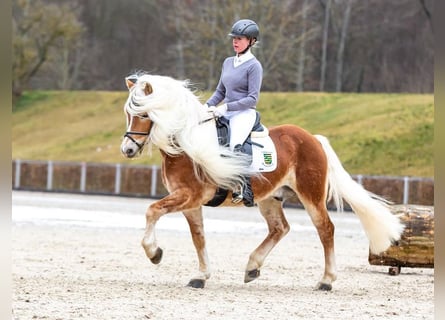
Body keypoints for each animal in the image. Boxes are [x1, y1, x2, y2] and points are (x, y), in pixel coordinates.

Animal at [119, 74, 402, 292]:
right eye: (127, 113)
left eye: (143, 113)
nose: (128, 150)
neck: (186, 144)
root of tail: (312, 138)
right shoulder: (190, 202)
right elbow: (198, 237)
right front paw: (200, 277)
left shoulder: (190, 194)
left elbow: (152, 210)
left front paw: (154, 253)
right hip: (270, 197)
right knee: (280, 228)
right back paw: (252, 267)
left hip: (310, 194)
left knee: (325, 229)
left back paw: (326, 281)